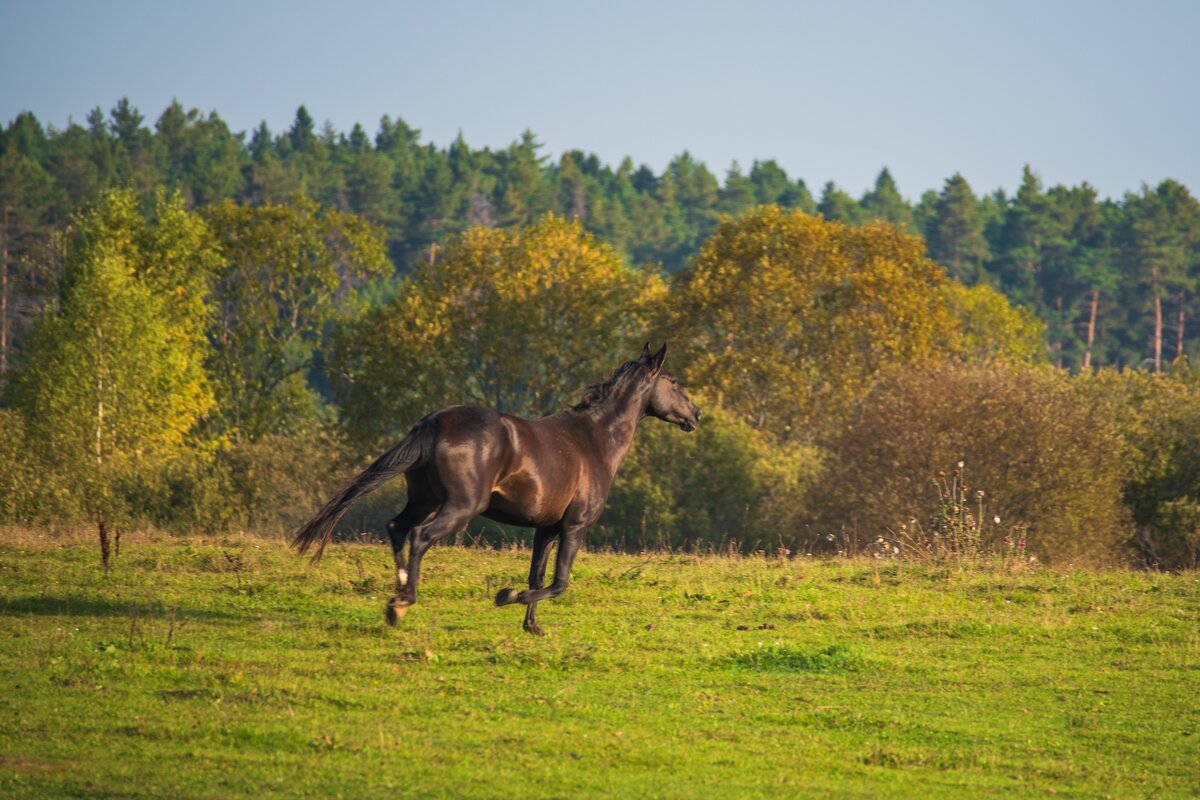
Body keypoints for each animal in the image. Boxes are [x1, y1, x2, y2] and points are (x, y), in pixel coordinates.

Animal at [292, 345, 700, 638]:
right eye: (674, 380)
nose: (695, 415)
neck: (594, 441)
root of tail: (432, 423)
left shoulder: (546, 529)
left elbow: (537, 576)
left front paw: (532, 626)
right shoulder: (574, 527)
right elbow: (559, 583)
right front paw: (507, 596)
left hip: (423, 498)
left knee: (397, 528)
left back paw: (398, 596)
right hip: (460, 506)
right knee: (420, 536)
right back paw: (404, 602)